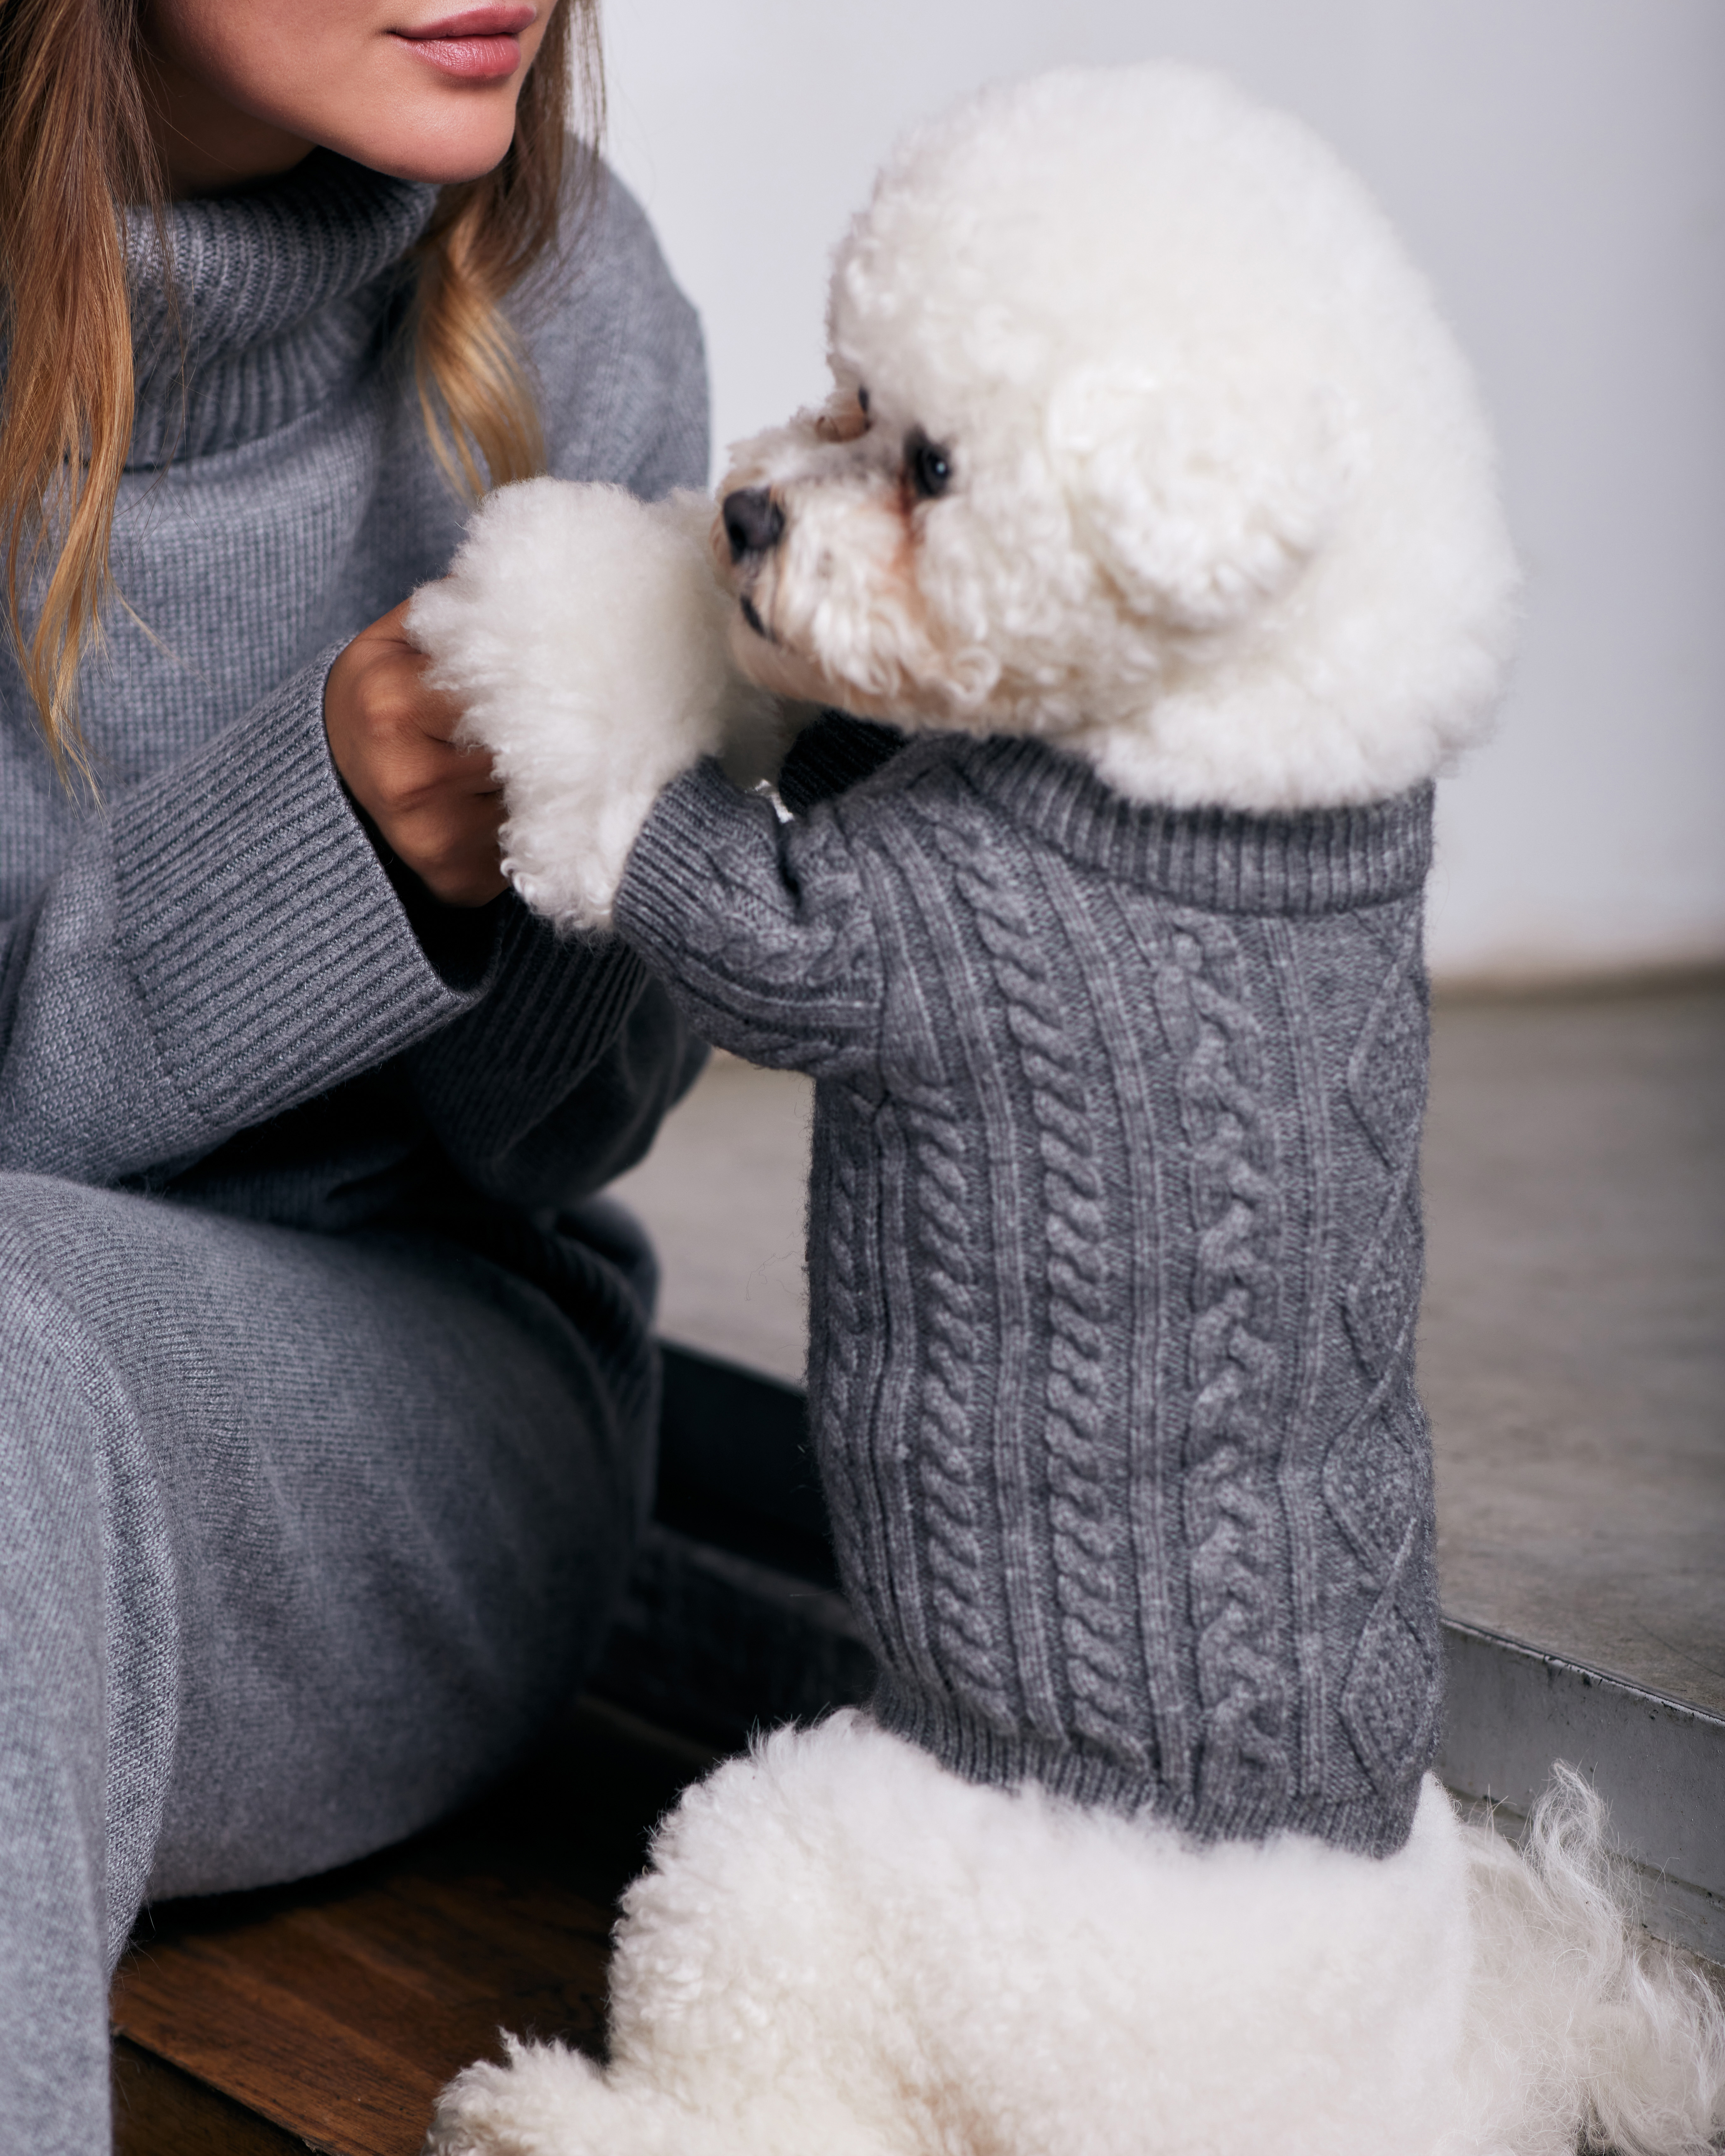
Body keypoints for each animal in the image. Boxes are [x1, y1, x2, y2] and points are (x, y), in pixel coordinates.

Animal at [414, 63, 1725, 2156]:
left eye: (937, 466)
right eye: (846, 390)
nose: (749, 511)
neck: (1233, 770)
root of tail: (1422, 2081)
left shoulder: (889, 953)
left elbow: (659, 844)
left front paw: (568, 585)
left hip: (793, 1855)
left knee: (782, 2106)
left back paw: (555, 2109)